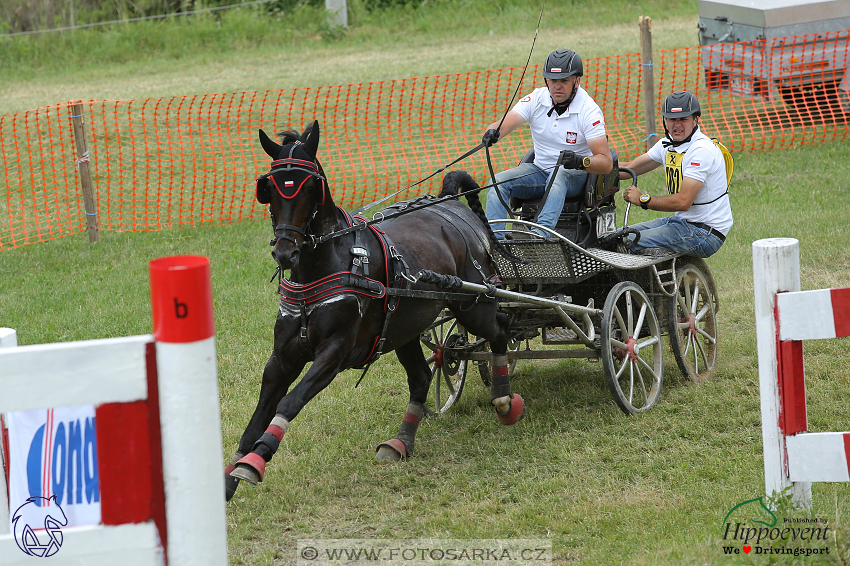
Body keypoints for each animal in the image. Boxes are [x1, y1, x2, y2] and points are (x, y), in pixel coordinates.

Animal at [224, 121, 524, 502]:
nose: (285, 252)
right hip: (405, 327)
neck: (327, 262)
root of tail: (452, 207)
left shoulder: (334, 354)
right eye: (270, 188)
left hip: (473, 306)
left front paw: (255, 459)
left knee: (500, 329)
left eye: (310, 187)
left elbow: (289, 403)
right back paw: (401, 441)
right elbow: (257, 417)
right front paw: (228, 479)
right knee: (422, 376)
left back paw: (503, 399)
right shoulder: (282, 358)